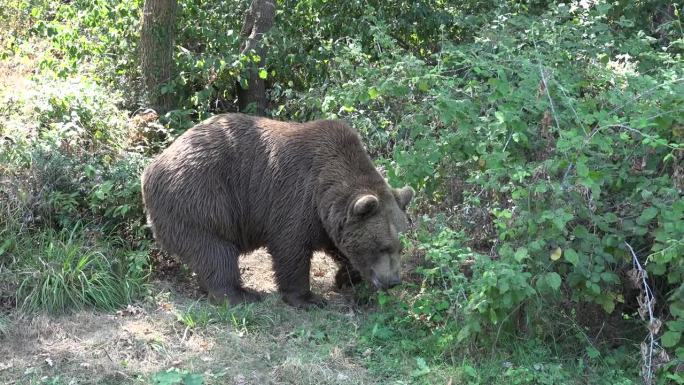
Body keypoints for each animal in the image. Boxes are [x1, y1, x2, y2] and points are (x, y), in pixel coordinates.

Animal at [140, 112, 412, 306]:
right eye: (382, 246)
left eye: (399, 247)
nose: (394, 281)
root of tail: (151, 168)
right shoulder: (295, 200)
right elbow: (290, 248)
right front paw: (308, 298)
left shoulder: (327, 222)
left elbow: (340, 247)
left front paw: (344, 277)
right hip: (200, 199)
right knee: (214, 251)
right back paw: (240, 295)